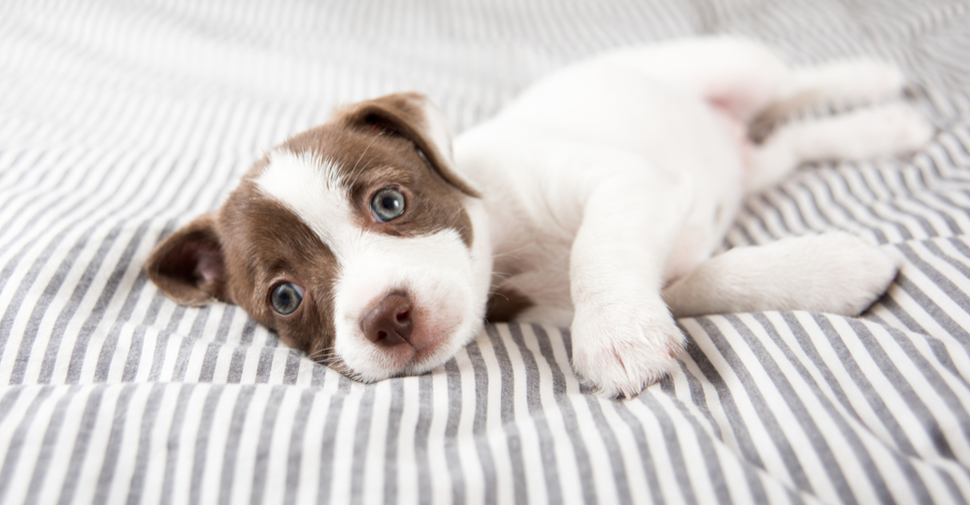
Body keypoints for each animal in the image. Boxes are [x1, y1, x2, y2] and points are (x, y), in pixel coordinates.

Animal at [144, 37, 932, 396]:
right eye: (285, 297)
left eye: (389, 203)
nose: (386, 317)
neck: (509, 252)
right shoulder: (656, 263)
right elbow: (709, 280)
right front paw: (836, 270)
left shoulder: (627, 182)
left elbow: (596, 253)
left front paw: (615, 336)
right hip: (753, 162)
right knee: (792, 142)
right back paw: (882, 129)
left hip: (729, 63)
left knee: (794, 87)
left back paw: (870, 79)